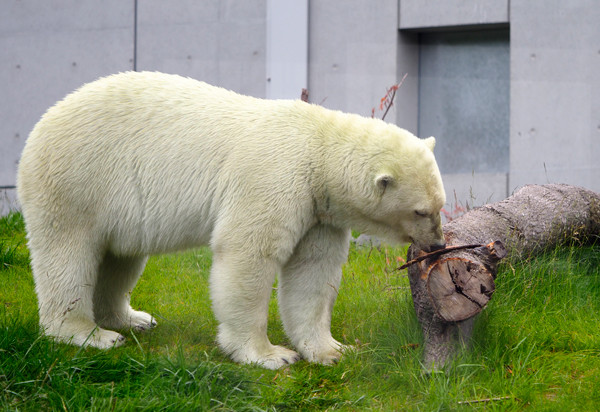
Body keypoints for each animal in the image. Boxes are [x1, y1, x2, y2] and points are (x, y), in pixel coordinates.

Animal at [17, 71, 446, 370]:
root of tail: (39, 128)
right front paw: (270, 354)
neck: (318, 148)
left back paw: (132, 319)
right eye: (421, 211)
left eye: (440, 205)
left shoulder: (318, 210)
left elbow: (313, 271)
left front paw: (332, 350)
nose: (439, 245)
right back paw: (88, 334)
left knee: (121, 258)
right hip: (78, 181)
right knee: (68, 255)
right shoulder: (273, 177)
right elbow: (248, 254)